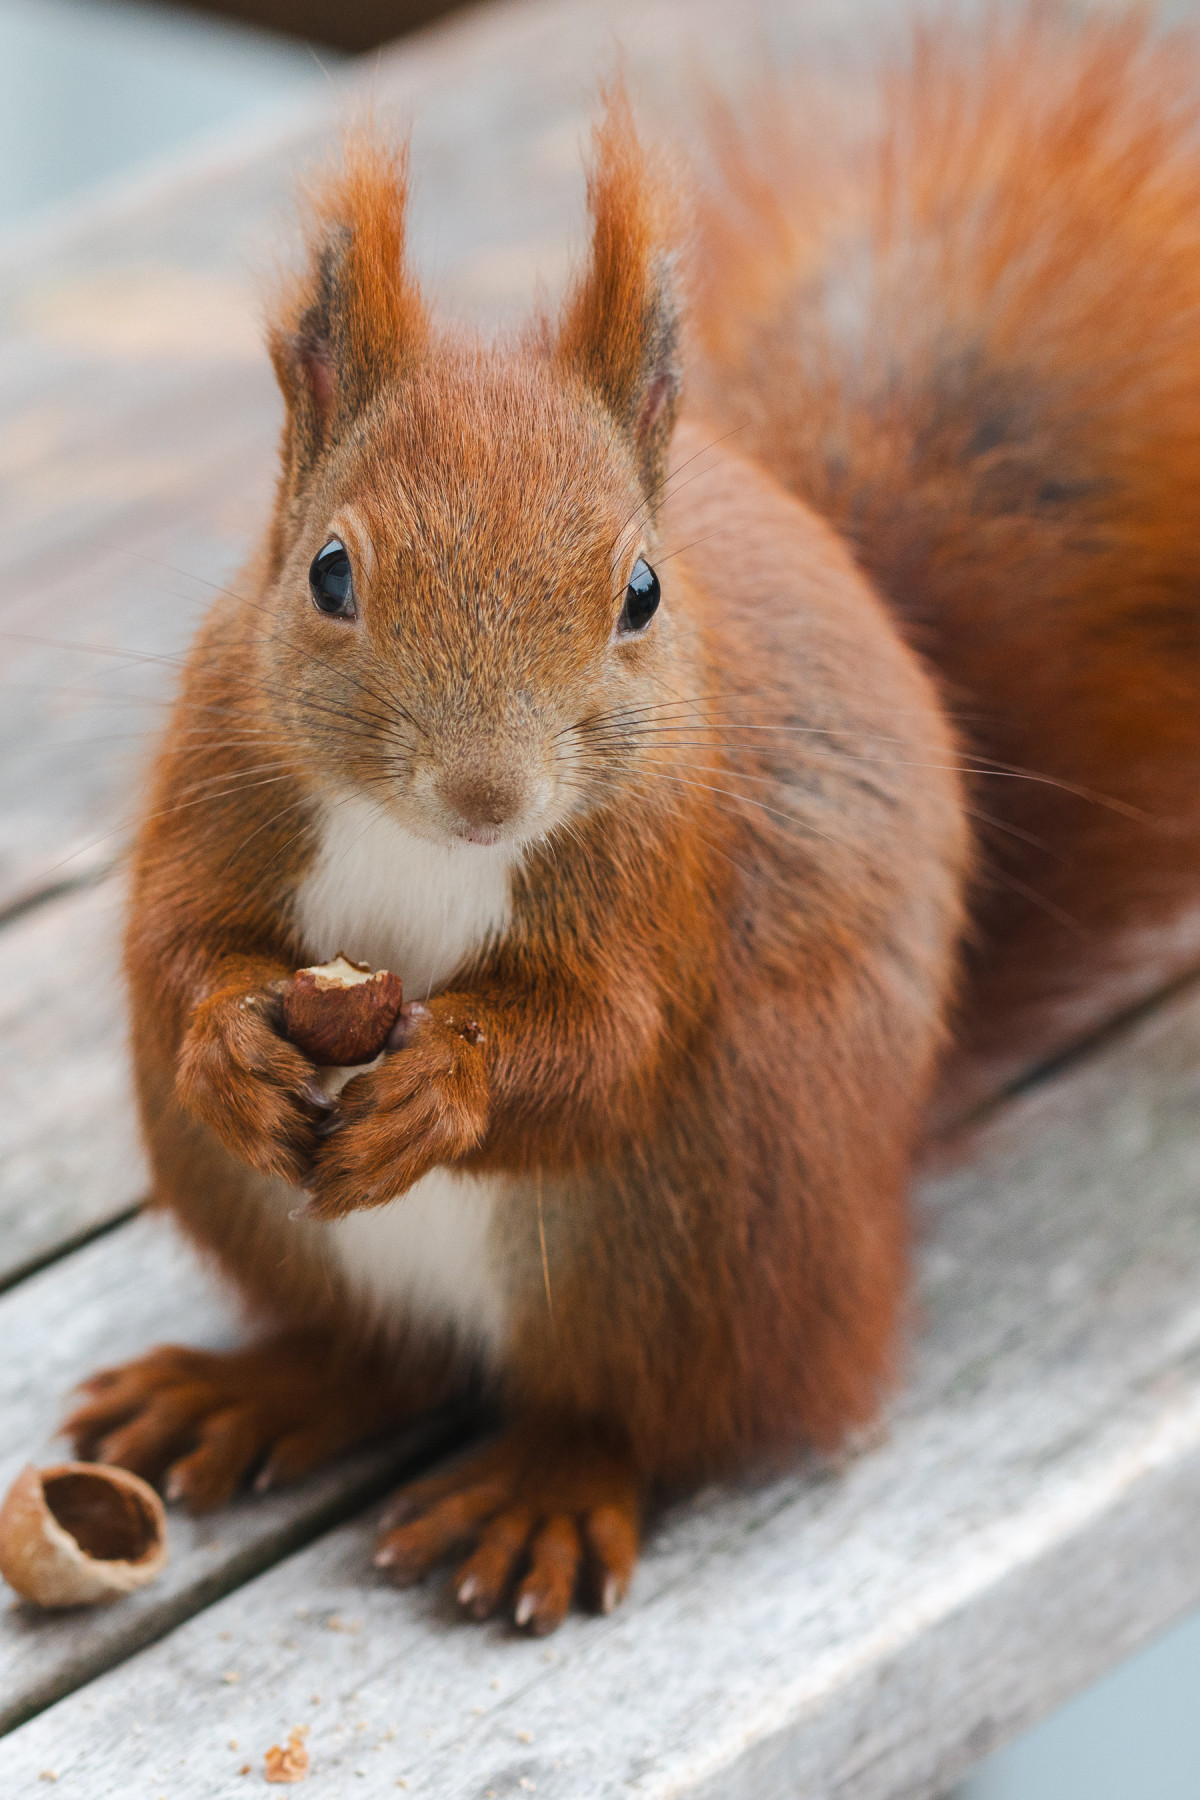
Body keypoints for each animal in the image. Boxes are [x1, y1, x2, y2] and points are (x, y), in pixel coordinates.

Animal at [63, 3, 1200, 1634]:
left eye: (643, 594)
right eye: (328, 573)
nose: (487, 798)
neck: (427, 853)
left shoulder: (663, 862)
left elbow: (613, 1037)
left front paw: (452, 1079)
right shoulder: (220, 773)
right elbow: (175, 946)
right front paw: (229, 1035)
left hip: (696, 1232)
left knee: (650, 1418)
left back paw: (545, 1486)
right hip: (263, 1207)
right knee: (375, 1359)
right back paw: (251, 1390)